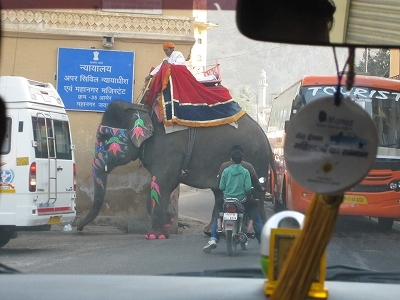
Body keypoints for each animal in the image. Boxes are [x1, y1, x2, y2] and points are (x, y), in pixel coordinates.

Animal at [77, 100, 276, 239]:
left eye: (104, 137)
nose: (78, 228)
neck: (142, 109)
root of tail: (266, 138)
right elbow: (166, 184)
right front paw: (170, 221)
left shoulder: (168, 149)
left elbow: (162, 181)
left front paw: (155, 235)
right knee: (220, 194)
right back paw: (211, 231)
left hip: (255, 161)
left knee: (255, 197)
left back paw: (255, 232)